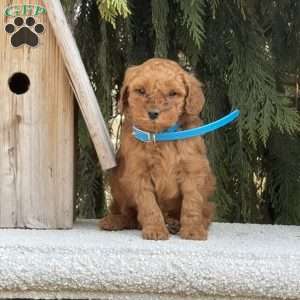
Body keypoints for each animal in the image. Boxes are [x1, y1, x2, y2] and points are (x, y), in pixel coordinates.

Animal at [101, 58, 216, 240]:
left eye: (173, 93)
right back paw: (114, 220)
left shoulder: (192, 170)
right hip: (117, 183)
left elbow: (192, 201)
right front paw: (155, 229)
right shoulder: (139, 173)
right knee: (129, 215)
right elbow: (149, 205)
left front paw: (192, 230)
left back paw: (176, 223)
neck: (161, 136)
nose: (153, 113)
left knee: (207, 211)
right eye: (141, 91)